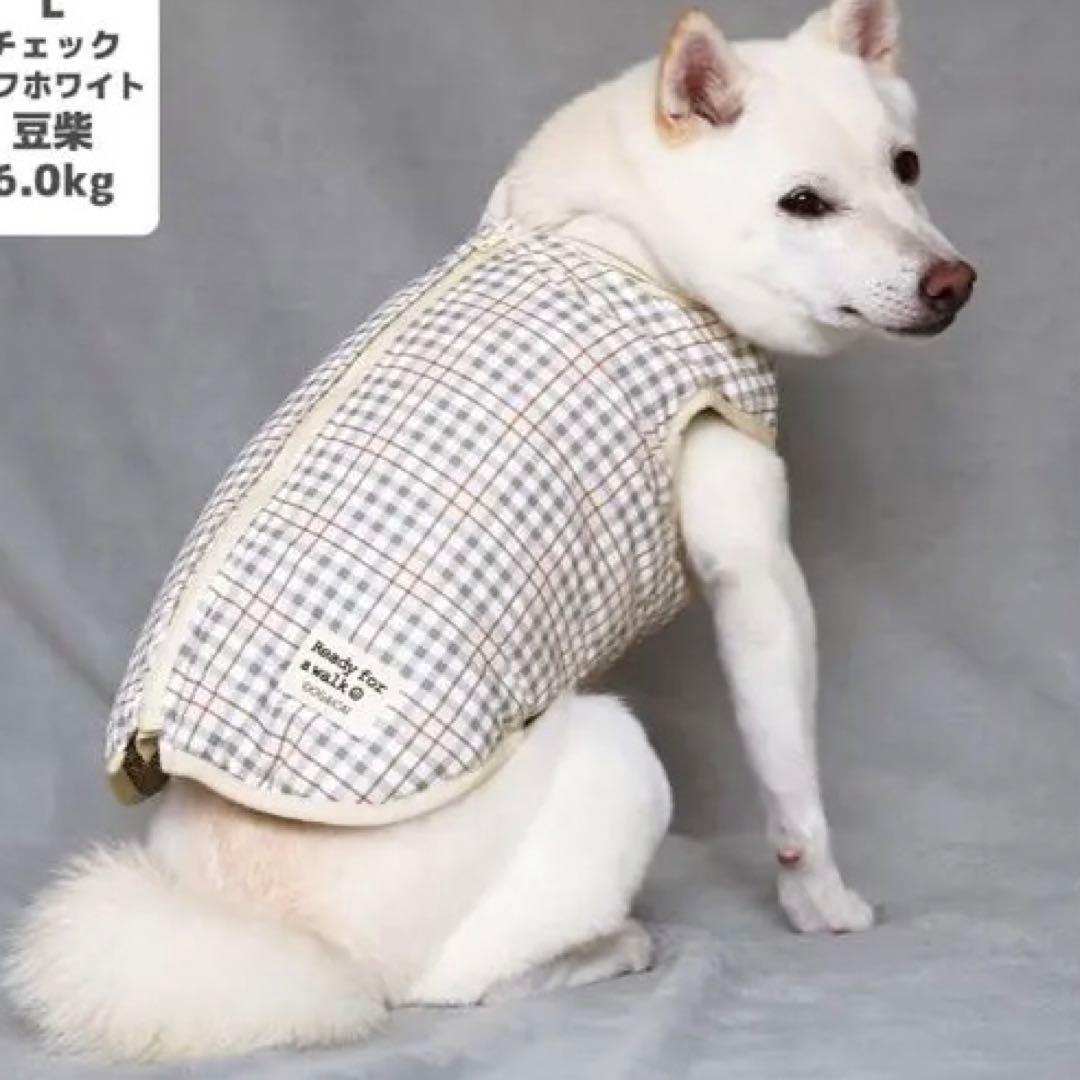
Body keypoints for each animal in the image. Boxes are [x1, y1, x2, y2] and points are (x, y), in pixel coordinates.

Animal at [6, 0, 975, 1061]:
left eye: (908, 166)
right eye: (804, 202)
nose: (953, 281)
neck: (618, 233)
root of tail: (269, 930)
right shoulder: (757, 577)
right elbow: (792, 778)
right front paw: (822, 905)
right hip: (615, 755)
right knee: (453, 987)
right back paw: (613, 947)